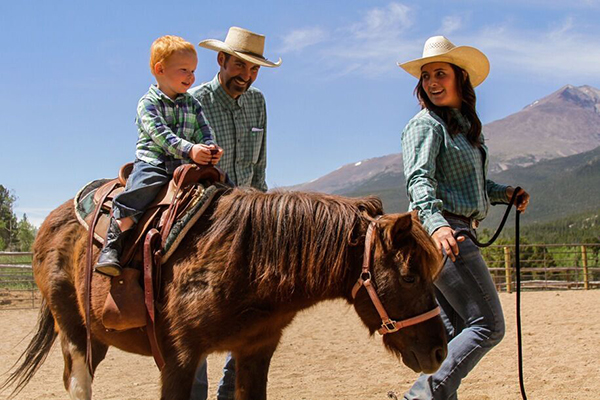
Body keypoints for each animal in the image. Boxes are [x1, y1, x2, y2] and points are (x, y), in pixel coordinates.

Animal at [3, 188, 446, 400]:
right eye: (410, 278)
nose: (439, 351)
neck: (246, 261)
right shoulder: (179, 359)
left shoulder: (256, 351)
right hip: (74, 332)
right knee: (79, 385)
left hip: (97, 338)